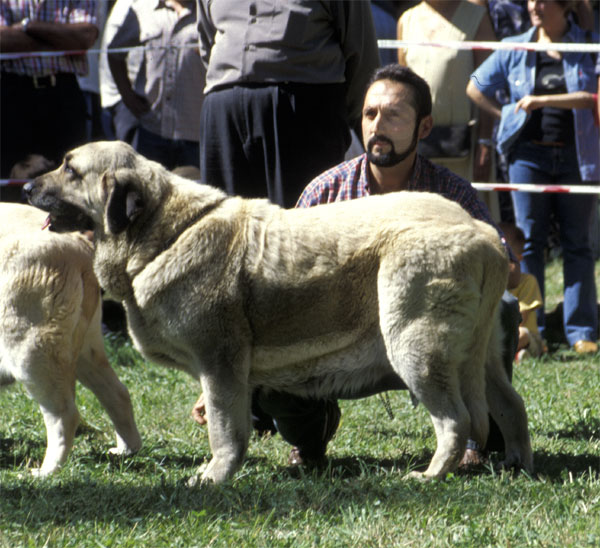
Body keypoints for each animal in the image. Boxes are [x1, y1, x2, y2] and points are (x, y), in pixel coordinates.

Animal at [0, 202, 142, 476]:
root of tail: (78, 246)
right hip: (85, 344)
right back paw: (126, 449)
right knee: (117, 392)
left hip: (29, 345)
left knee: (64, 413)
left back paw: (47, 471)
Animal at [25, 141, 532, 484]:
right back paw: (518, 462)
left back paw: (431, 475)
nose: (27, 186)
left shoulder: (220, 364)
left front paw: (214, 476)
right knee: (510, 405)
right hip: (481, 356)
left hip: (416, 347)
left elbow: (224, 430)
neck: (164, 230)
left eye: (69, 168)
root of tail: (483, 232)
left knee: (456, 420)